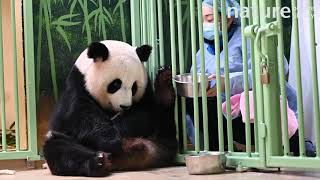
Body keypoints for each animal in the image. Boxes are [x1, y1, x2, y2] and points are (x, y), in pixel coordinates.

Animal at [42, 40, 178, 176]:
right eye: (116, 84)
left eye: (134, 87)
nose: (125, 106)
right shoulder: (77, 87)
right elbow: (83, 117)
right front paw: (111, 141)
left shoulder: (145, 93)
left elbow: (144, 113)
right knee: (59, 147)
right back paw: (99, 162)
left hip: (164, 138)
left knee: (164, 119)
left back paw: (164, 85)